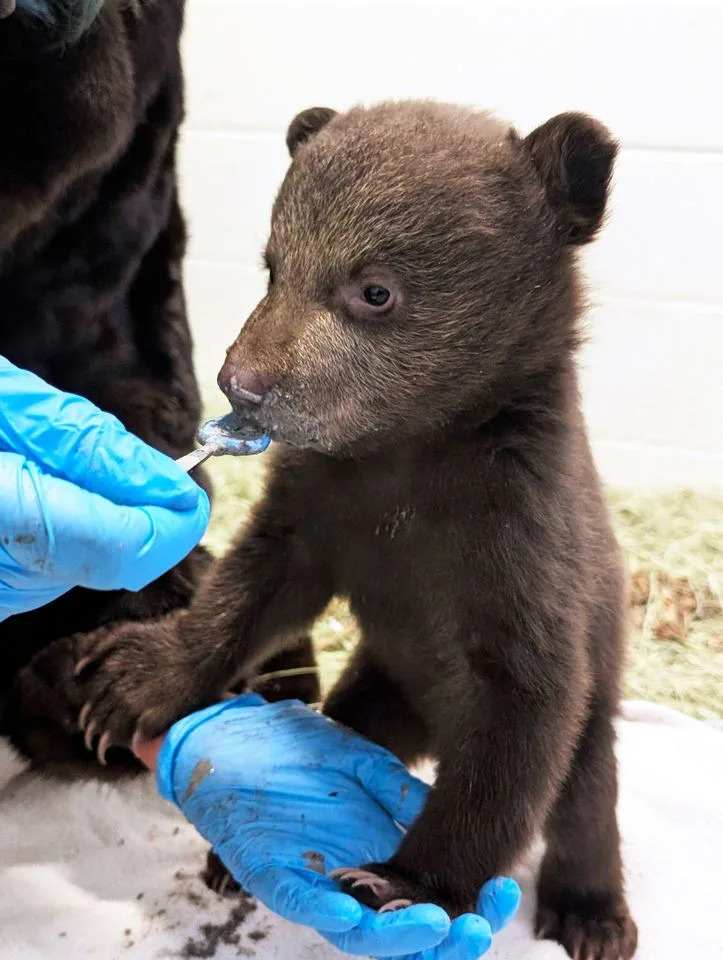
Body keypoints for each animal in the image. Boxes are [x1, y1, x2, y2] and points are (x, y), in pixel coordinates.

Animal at [59, 100, 637, 958]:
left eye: (374, 289)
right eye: (273, 265)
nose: (243, 381)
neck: (411, 449)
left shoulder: (519, 535)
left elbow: (522, 708)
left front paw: (404, 883)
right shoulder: (326, 498)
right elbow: (259, 581)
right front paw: (129, 681)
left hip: (594, 696)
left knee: (583, 793)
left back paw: (590, 913)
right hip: (381, 681)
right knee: (352, 719)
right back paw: (234, 857)